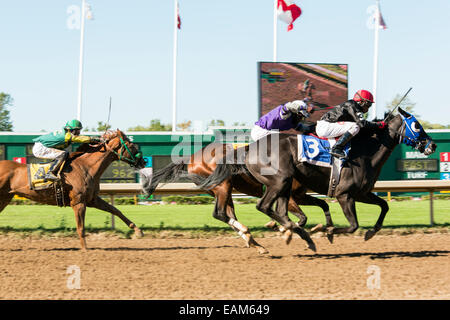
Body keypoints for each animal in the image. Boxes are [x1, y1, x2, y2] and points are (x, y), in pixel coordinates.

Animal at [0, 129, 146, 249]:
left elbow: (115, 210)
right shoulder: (78, 202)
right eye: (131, 145)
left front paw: (138, 230)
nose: (143, 161)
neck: (86, 167)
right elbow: (81, 228)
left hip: (5, 198)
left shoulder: (92, 200)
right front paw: (85, 249)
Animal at [141, 142, 330, 252]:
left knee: (228, 215)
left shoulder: (300, 195)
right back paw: (248, 234)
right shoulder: (289, 195)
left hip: (224, 189)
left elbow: (317, 208)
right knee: (219, 213)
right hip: (222, 185)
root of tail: (191, 159)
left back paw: (254, 242)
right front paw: (286, 231)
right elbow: (301, 217)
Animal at [200, 107, 436, 248]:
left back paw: (296, 233)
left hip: (285, 185)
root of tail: (248, 148)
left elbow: (384, 206)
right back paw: (296, 233)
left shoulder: (362, 193)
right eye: (416, 125)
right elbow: (353, 225)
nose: (432, 145)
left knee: (278, 211)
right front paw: (325, 231)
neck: (365, 151)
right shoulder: (344, 194)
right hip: (280, 181)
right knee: (264, 206)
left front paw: (370, 232)